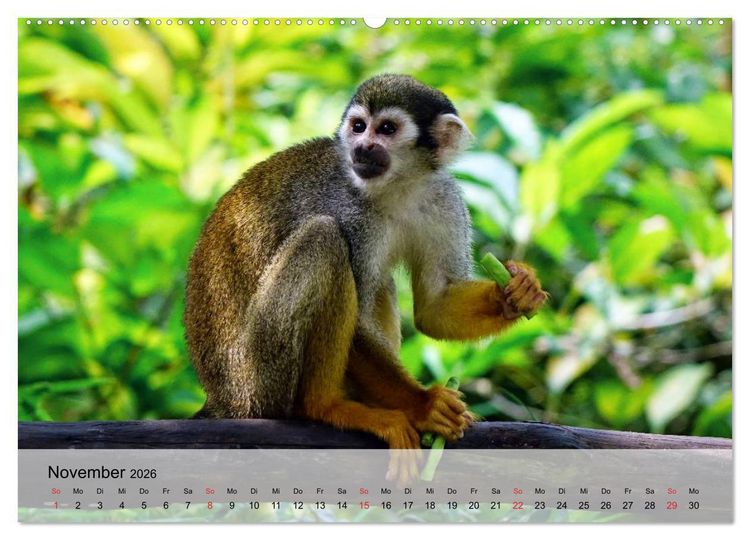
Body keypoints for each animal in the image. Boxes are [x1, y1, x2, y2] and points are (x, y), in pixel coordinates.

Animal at [184, 74, 547, 483]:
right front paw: (425, 405)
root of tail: (221, 398)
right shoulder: (349, 210)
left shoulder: (443, 199)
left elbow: (434, 307)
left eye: (386, 129)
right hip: (259, 379)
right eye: (358, 127)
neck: (397, 187)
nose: (362, 146)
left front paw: (517, 292)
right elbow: (357, 324)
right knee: (325, 239)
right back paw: (326, 406)